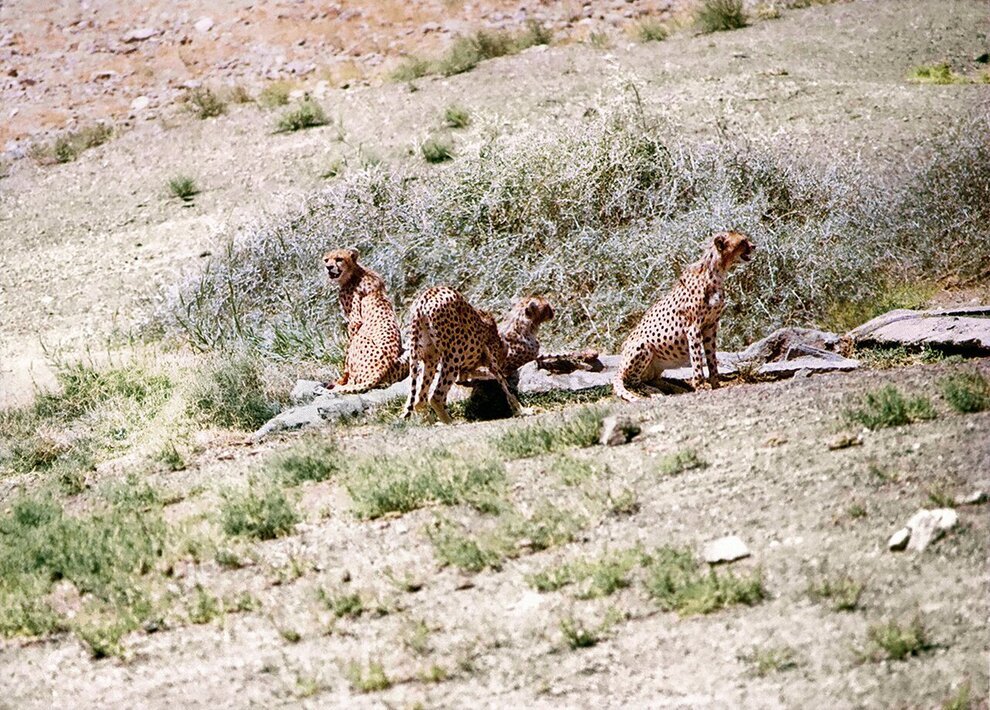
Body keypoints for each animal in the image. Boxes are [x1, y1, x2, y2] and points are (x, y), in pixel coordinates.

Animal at [324, 249, 404, 394]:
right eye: (326, 260)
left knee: (352, 381)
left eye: (339, 259)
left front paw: (341, 379)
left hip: (360, 340)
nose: (329, 267)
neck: (354, 272)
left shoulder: (355, 321)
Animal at [404, 288, 528, 426]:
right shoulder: (492, 361)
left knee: (419, 400)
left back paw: (433, 423)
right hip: (453, 356)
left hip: (430, 358)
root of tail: (425, 297)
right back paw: (450, 422)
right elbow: (505, 386)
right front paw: (522, 410)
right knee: (436, 397)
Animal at [612, 231, 760, 404]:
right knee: (634, 381)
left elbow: (711, 360)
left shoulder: (710, 327)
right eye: (743, 241)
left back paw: (676, 388)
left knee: (652, 379)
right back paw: (656, 392)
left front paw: (716, 386)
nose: (754, 246)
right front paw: (701, 388)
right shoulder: (693, 328)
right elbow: (697, 362)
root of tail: (619, 366)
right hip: (642, 345)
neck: (716, 272)